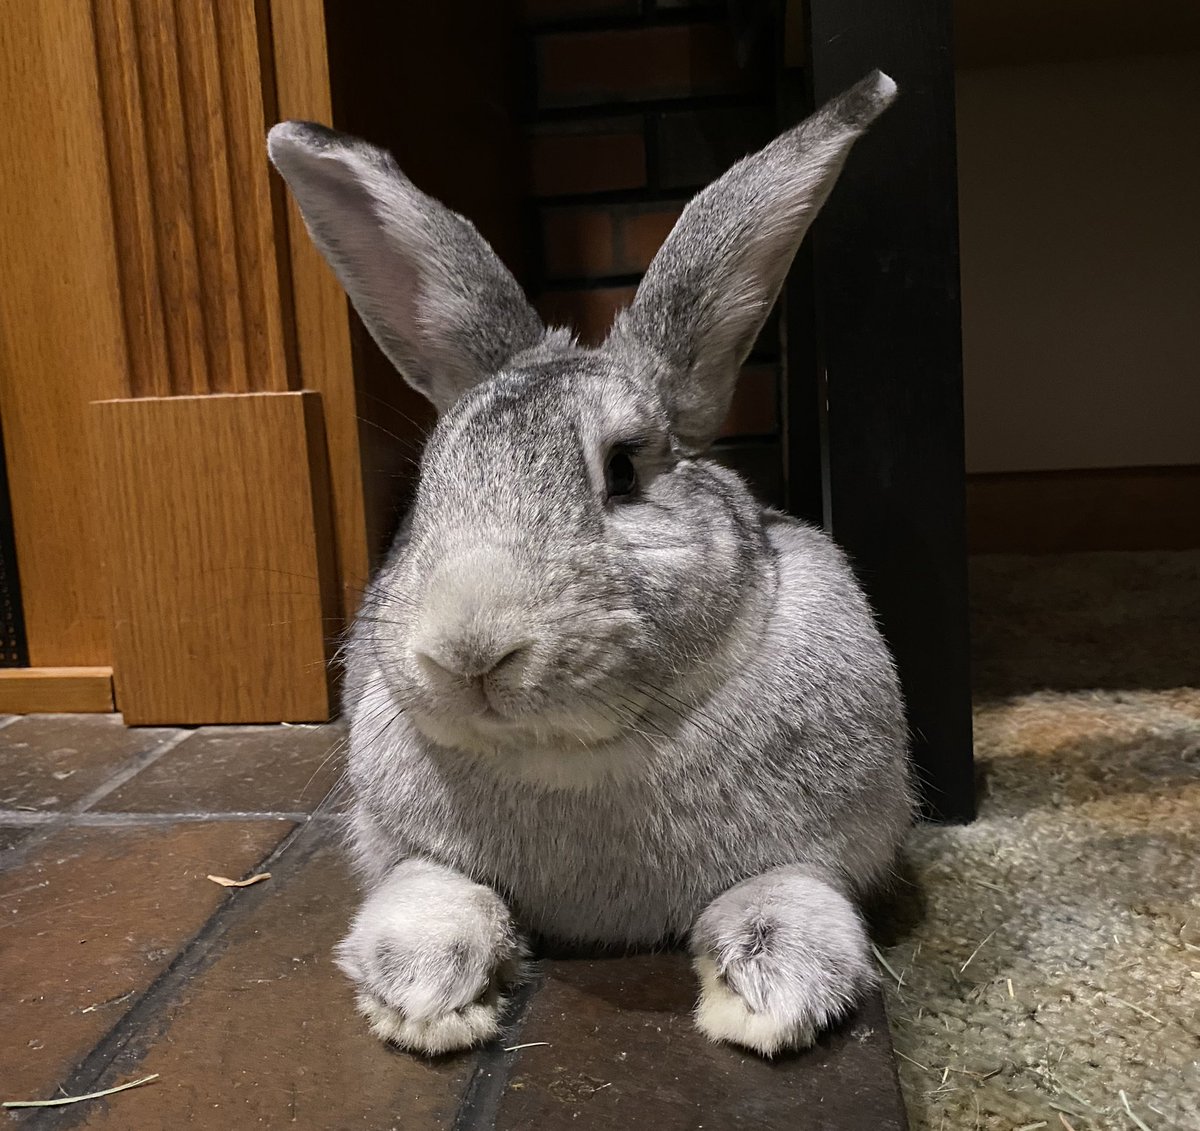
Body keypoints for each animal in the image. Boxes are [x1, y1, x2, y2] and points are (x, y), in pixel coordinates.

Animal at [267, 69, 913, 1059]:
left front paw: (770, 999)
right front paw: (422, 997)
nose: (467, 651)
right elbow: (435, 890)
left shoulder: (833, 844)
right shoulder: (408, 849)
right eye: (428, 483)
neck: (571, 755)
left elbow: (789, 891)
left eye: (625, 471)